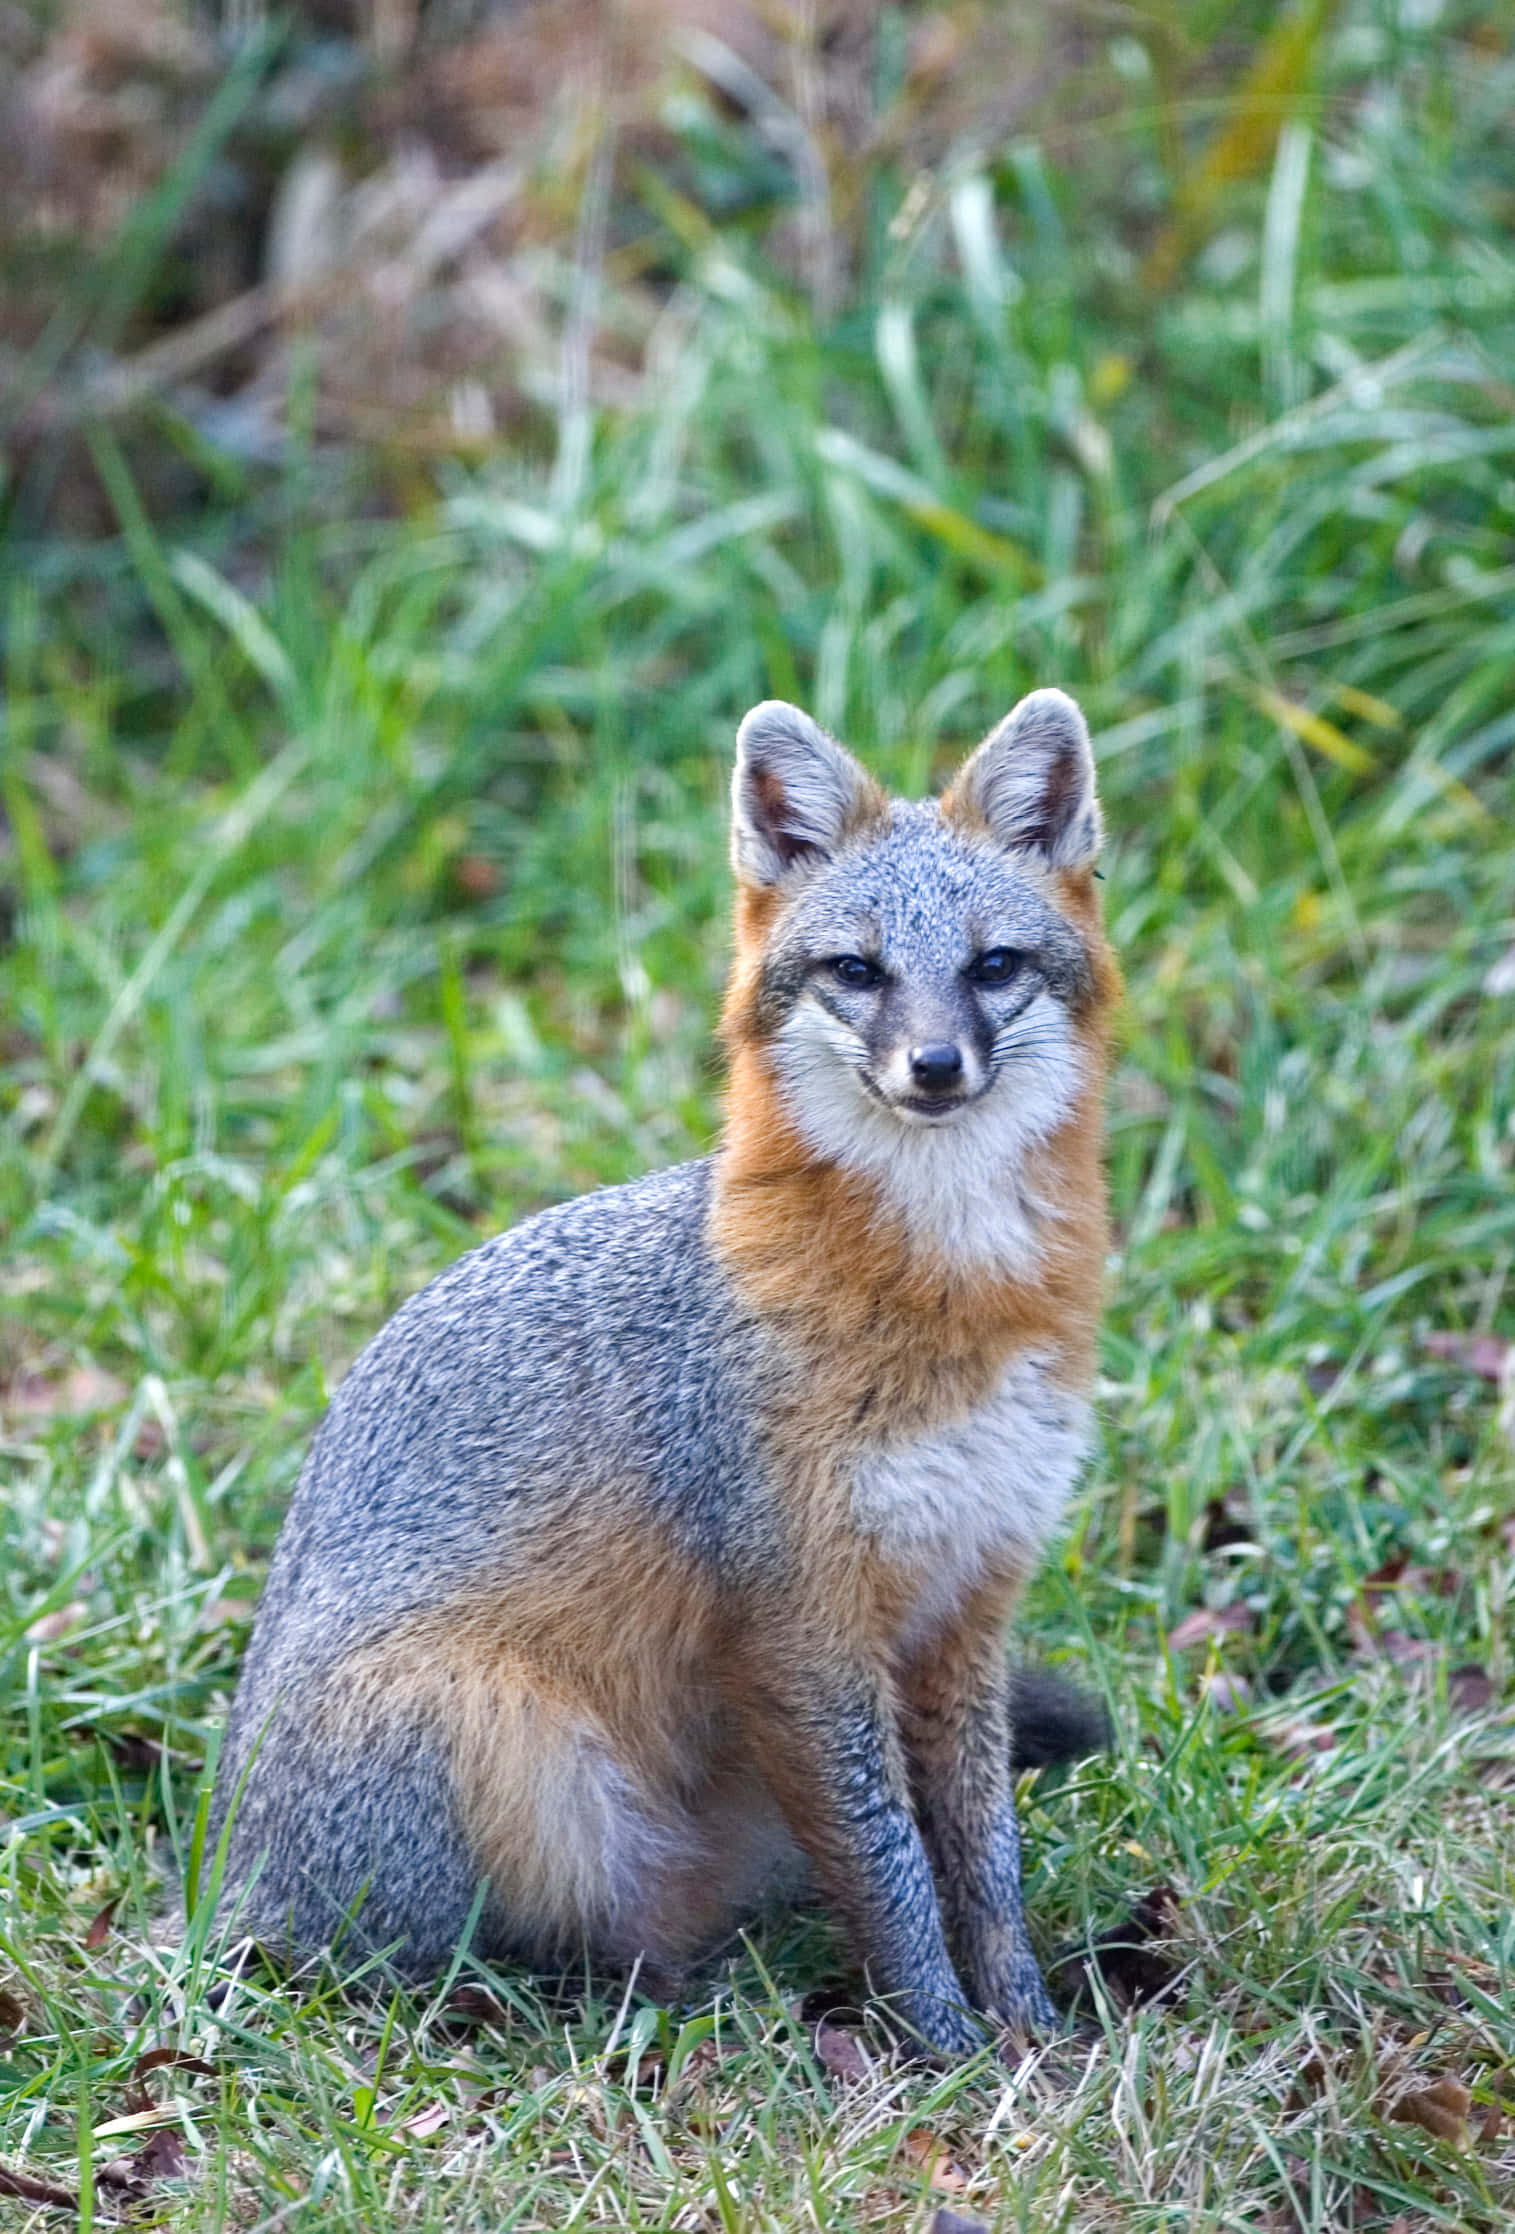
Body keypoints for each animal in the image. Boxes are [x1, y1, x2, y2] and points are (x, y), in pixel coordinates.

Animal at [207, 686, 1119, 2055]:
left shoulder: (970, 1600)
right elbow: (891, 1862)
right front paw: (946, 2047)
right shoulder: (803, 1625)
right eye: (859, 971)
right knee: (425, 1960)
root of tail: (210, 1889)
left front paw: (1027, 2026)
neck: (950, 1299)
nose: (934, 1067)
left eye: (993, 966)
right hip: (502, 1726)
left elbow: (982, 1855)